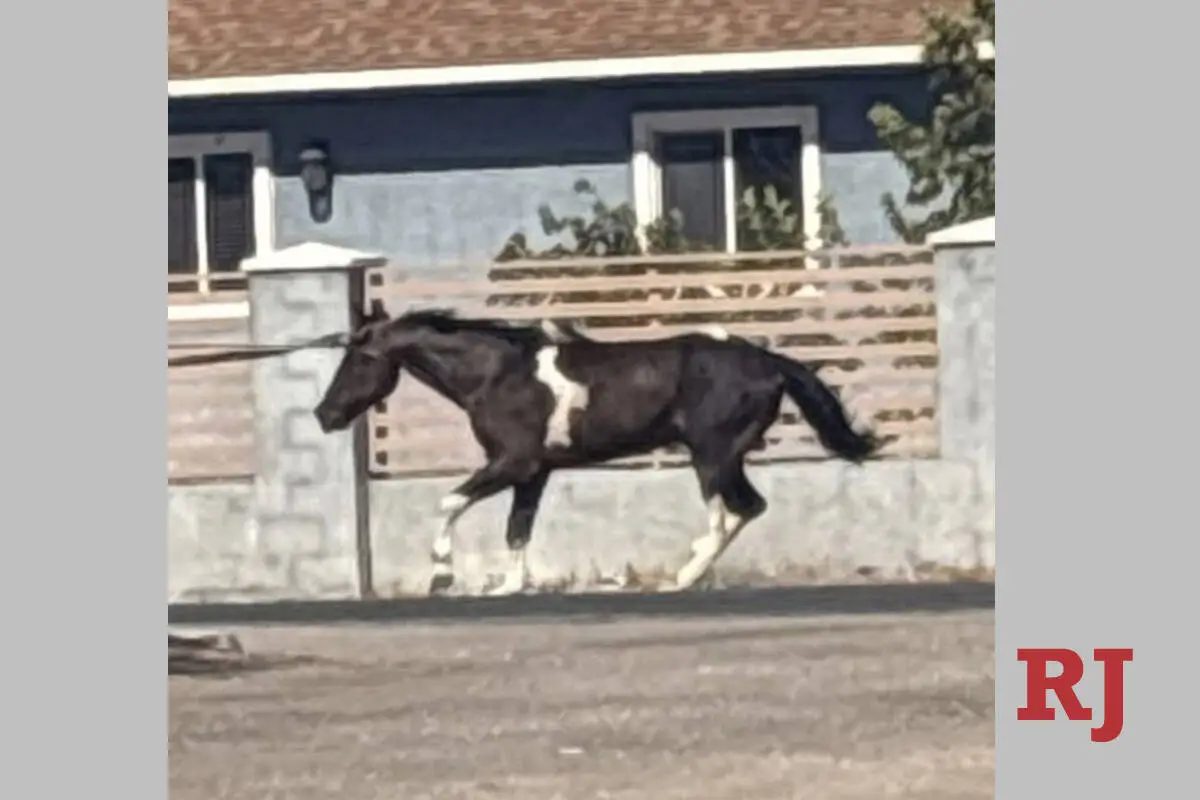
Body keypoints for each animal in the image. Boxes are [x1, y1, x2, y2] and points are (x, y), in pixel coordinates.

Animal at [313, 306, 879, 595]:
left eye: (359, 359)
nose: (325, 414)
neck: (497, 375)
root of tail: (770, 361)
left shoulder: (512, 462)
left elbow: (449, 501)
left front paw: (442, 574)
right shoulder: (534, 472)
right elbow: (517, 528)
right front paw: (508, 586)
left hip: (712, 455)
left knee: (729, 512)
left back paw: (681, 577)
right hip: (724, 457)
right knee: (748, 508)